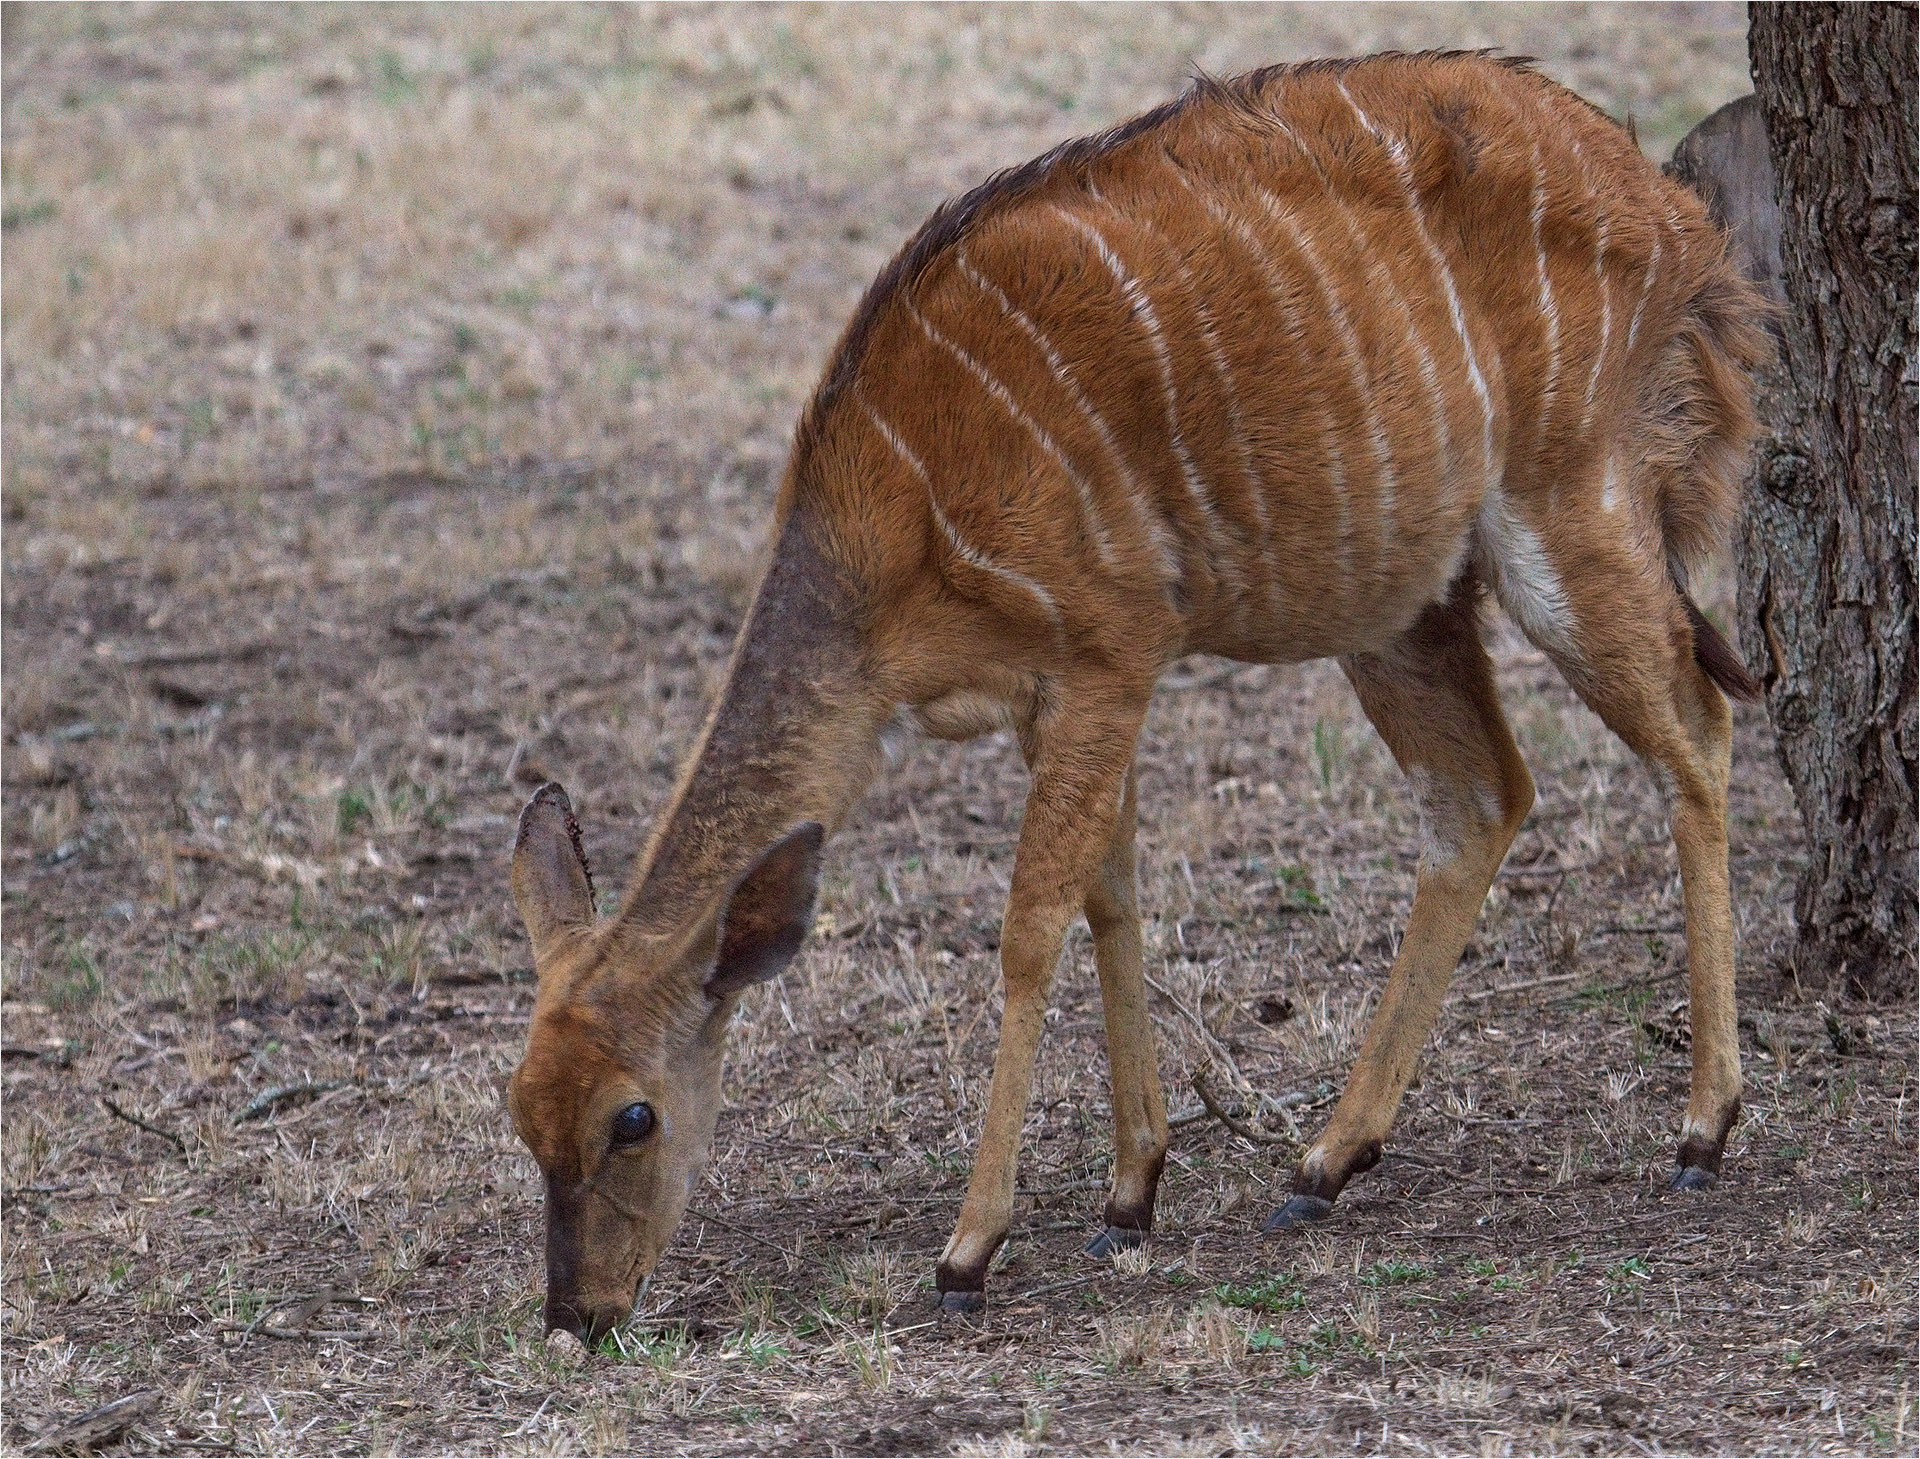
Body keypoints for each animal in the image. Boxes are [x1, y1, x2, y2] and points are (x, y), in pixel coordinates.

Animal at [506, 51, 1768, 1338]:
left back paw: (1703, 1130)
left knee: (1695, 733)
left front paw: (971, 1246)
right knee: (1484, 794)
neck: (892, 523)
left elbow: (1031, 926)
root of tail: (1678, 218)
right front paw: (1129, 1195)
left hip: (1566, 505)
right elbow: (1110, 895)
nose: (577, 1313)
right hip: (1400, 599)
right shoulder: (1049, 697)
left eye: (633, 1116)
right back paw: (1324, 1162)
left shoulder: (1112, 653)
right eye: (520, 1117)